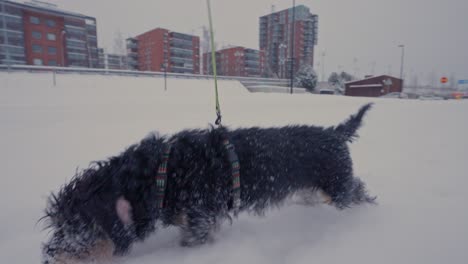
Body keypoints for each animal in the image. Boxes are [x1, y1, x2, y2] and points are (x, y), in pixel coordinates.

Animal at [42, 104, 374, 262]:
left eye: (75, 226)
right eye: (57, 224)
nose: (48, 256)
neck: (161, 175)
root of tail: (336, 133)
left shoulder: (200, 220)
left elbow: (192, 242)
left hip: (337, 187)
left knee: (356, 190)